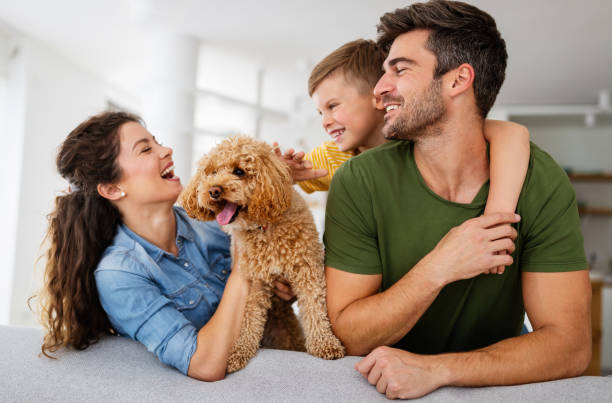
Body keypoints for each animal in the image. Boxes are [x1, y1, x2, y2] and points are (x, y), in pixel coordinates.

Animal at [180, 135, 344, 372]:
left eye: (239, 171)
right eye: (211, 172)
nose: (213, 190)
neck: (264, 228)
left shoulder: (307, 271)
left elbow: (315, 308)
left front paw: (324, 344)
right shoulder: (255, 282)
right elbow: (250, 319)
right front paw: (239, 352)